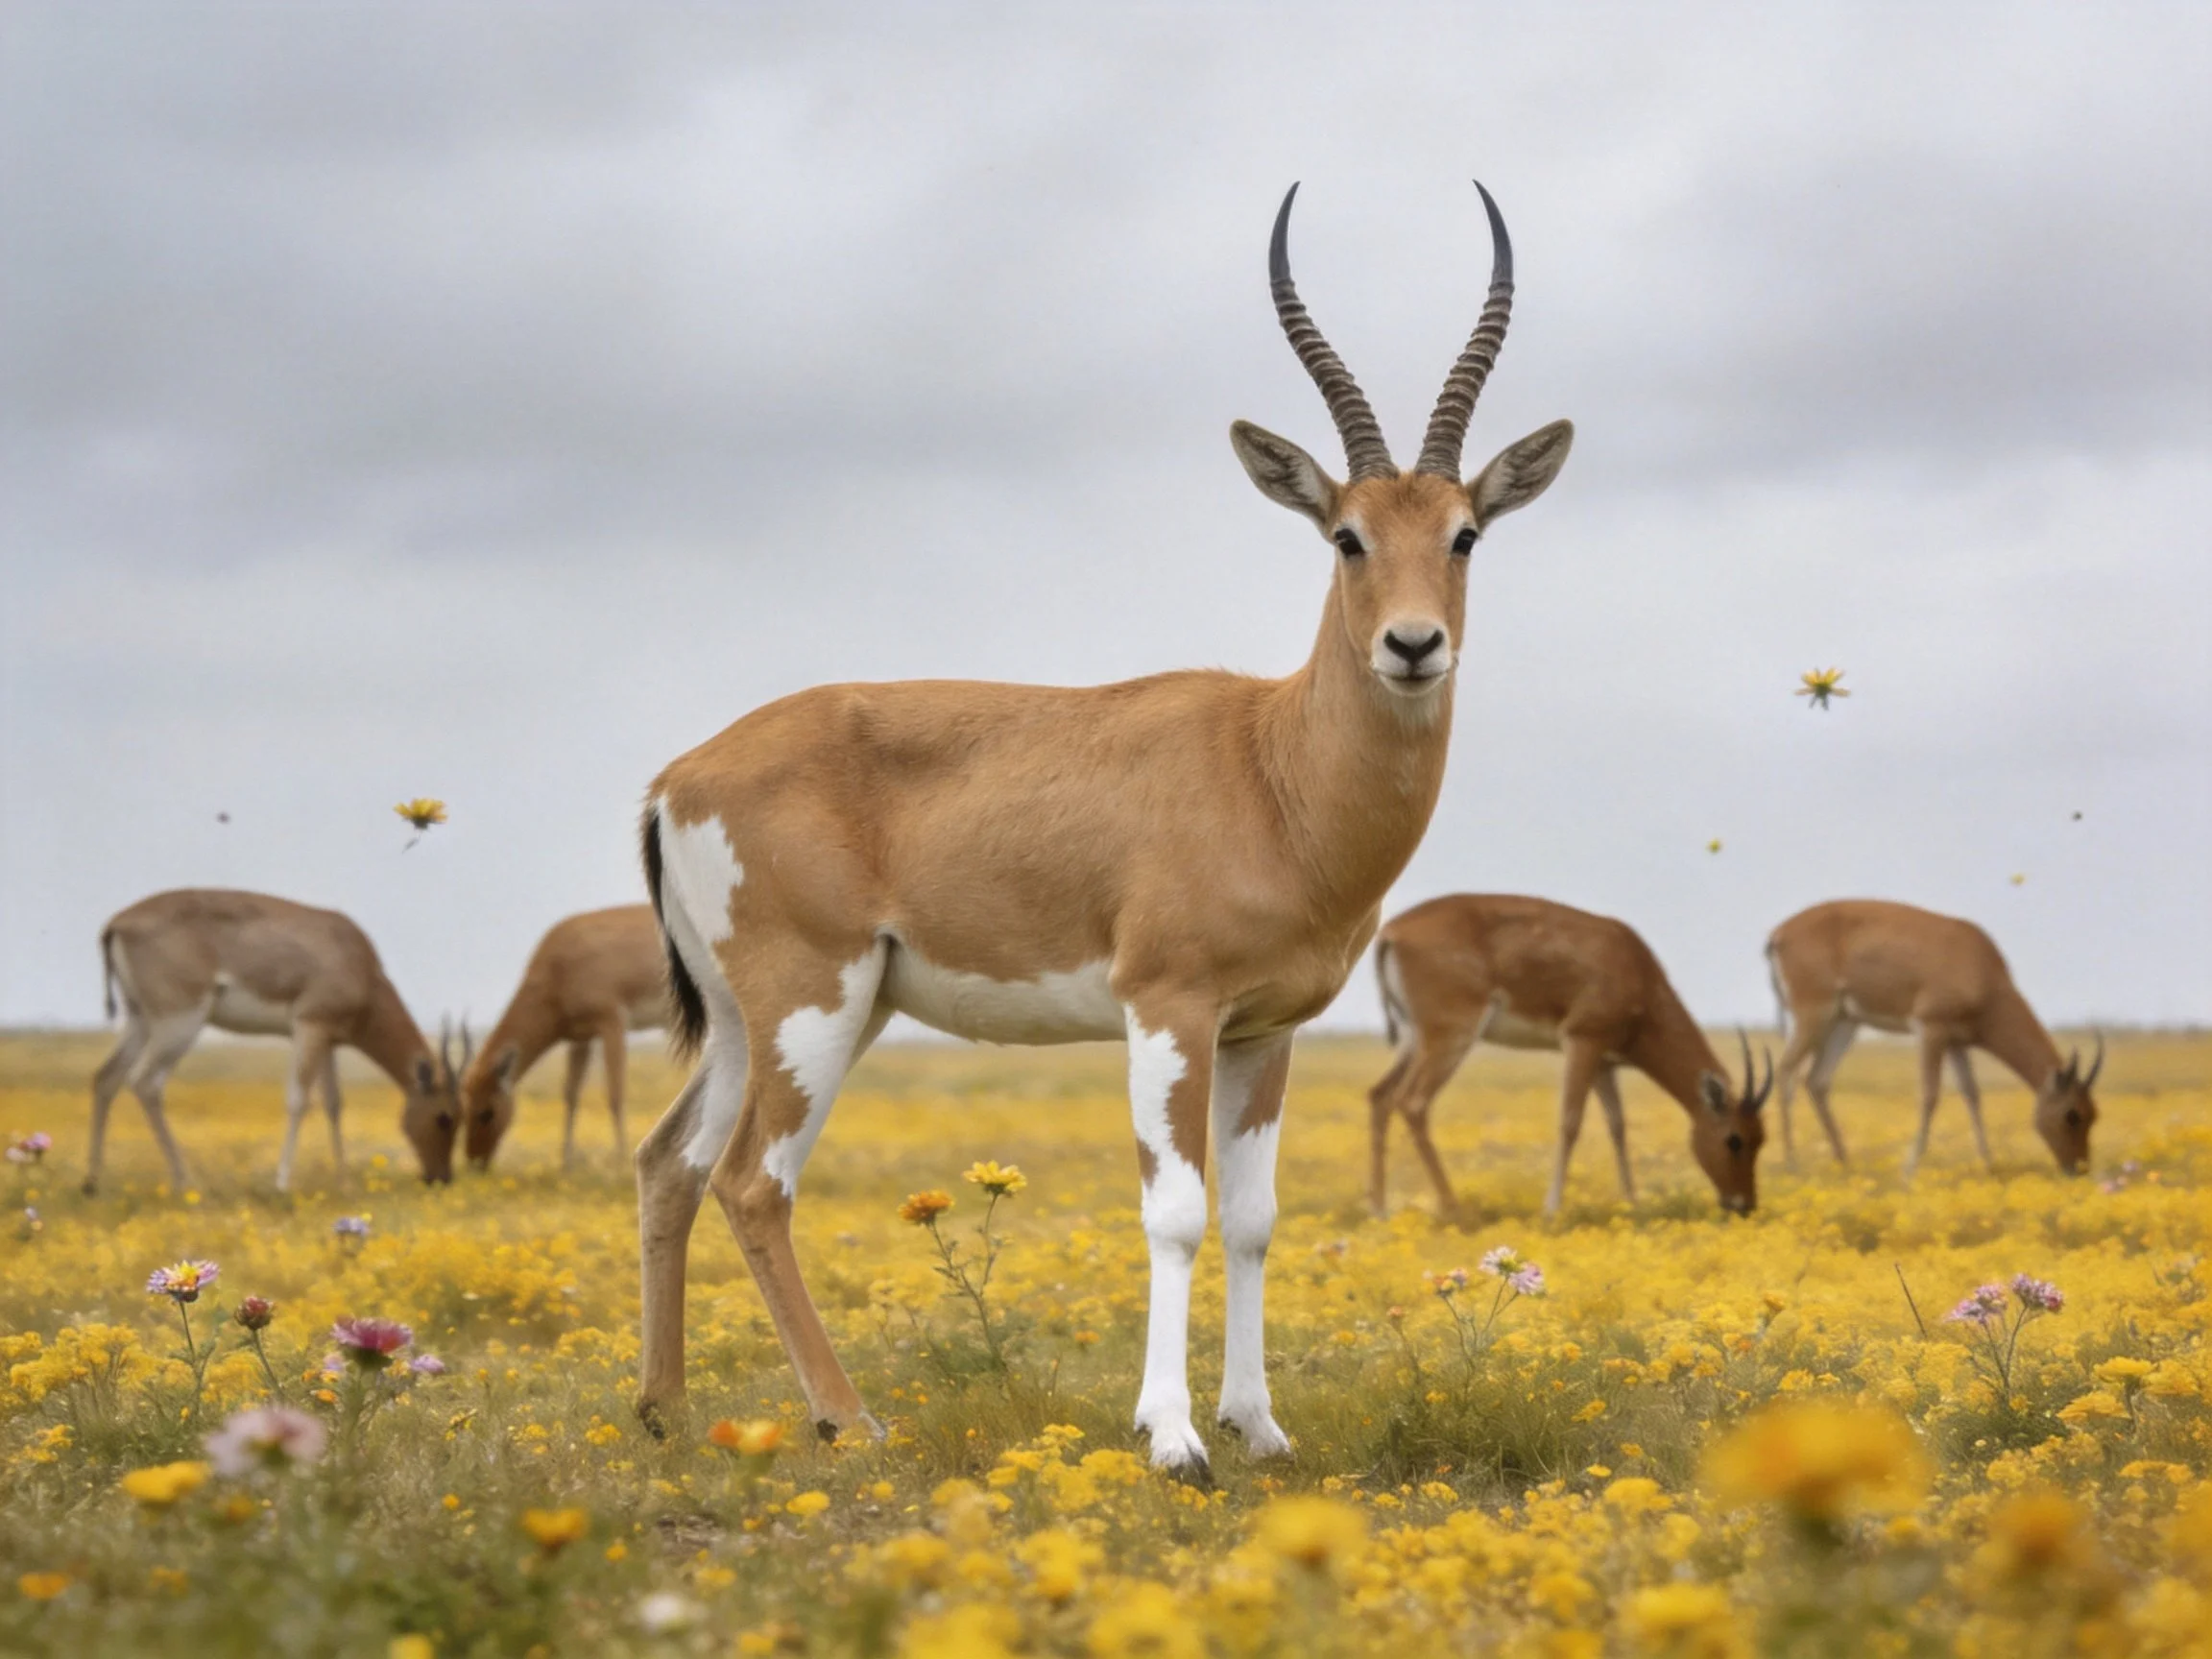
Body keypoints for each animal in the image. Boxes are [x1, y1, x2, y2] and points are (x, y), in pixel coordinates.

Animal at [89, 889, 460, 1193]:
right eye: (444, 1117)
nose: (440, 1178)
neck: (353, 956)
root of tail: (117, 923)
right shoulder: (309, 1028)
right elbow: (298, 1100)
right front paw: (282, 1184)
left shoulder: (328, 1041)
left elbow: (333, 1104)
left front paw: (343, 1183)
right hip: (179, 1024)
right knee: (146, 1083)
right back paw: (187, 1183)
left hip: (140, 1021)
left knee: (106, 1077)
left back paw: (93, 1183)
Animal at [457, 904, 670, 1171]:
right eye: (464, 1110)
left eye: (487, 1112)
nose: (475, 1163)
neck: (559, 965)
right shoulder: (580, 1038)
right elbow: (570, 1094)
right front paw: (566, 1161)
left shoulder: (612, 1024)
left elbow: (615, 1093)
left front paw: (620, 1159)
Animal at [632, 181, 1573, 1476]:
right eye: (1346, 536)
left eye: (1465, 533)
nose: (1415, 644)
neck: (1270, 768)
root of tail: (680, 774)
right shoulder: (1166, 1007)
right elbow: (1175, 1212)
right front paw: (1172, 1438)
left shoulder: (1263, 1031)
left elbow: (1254, 1219)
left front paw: (1259, 1426)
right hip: (810, 1005)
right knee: (751, 1184)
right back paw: (850, 1420)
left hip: (758, 1019)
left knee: (668, 1165)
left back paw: (665, 1414)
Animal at [1368, 895, 1771, 1220]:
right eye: (1734, 1139)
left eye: (1761, 1138)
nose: (1744, 1205)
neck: (1633, 966)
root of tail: (1392, 932)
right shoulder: (1582, 1043)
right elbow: (1571, 1122)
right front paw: (1551, 1209)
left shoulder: (1604, 1064)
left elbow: (1618, 1125)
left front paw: (1632, 1202)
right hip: (1451, 1039)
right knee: (1413, 1102)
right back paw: (1454, 1209)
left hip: (1414, 1040)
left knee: (1380, 1096)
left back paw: (1380, 1209)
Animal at [1766, 899, 2101, 1176]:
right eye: (2072, 1114)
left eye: (2094, 1114)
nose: (2078, 1169)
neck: (1980, 966)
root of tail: (1779, 935)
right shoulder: (1931, 1030)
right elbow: (1930, 1094)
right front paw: (1909, 1168)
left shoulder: (1956, 1042)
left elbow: (1972, 1094)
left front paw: (1988, 1163)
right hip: (1814, 1017)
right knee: (1785, 1071)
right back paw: (1792, 1163)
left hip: (1844, 1023)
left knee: (1816, 1080)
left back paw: (1843, 1160)